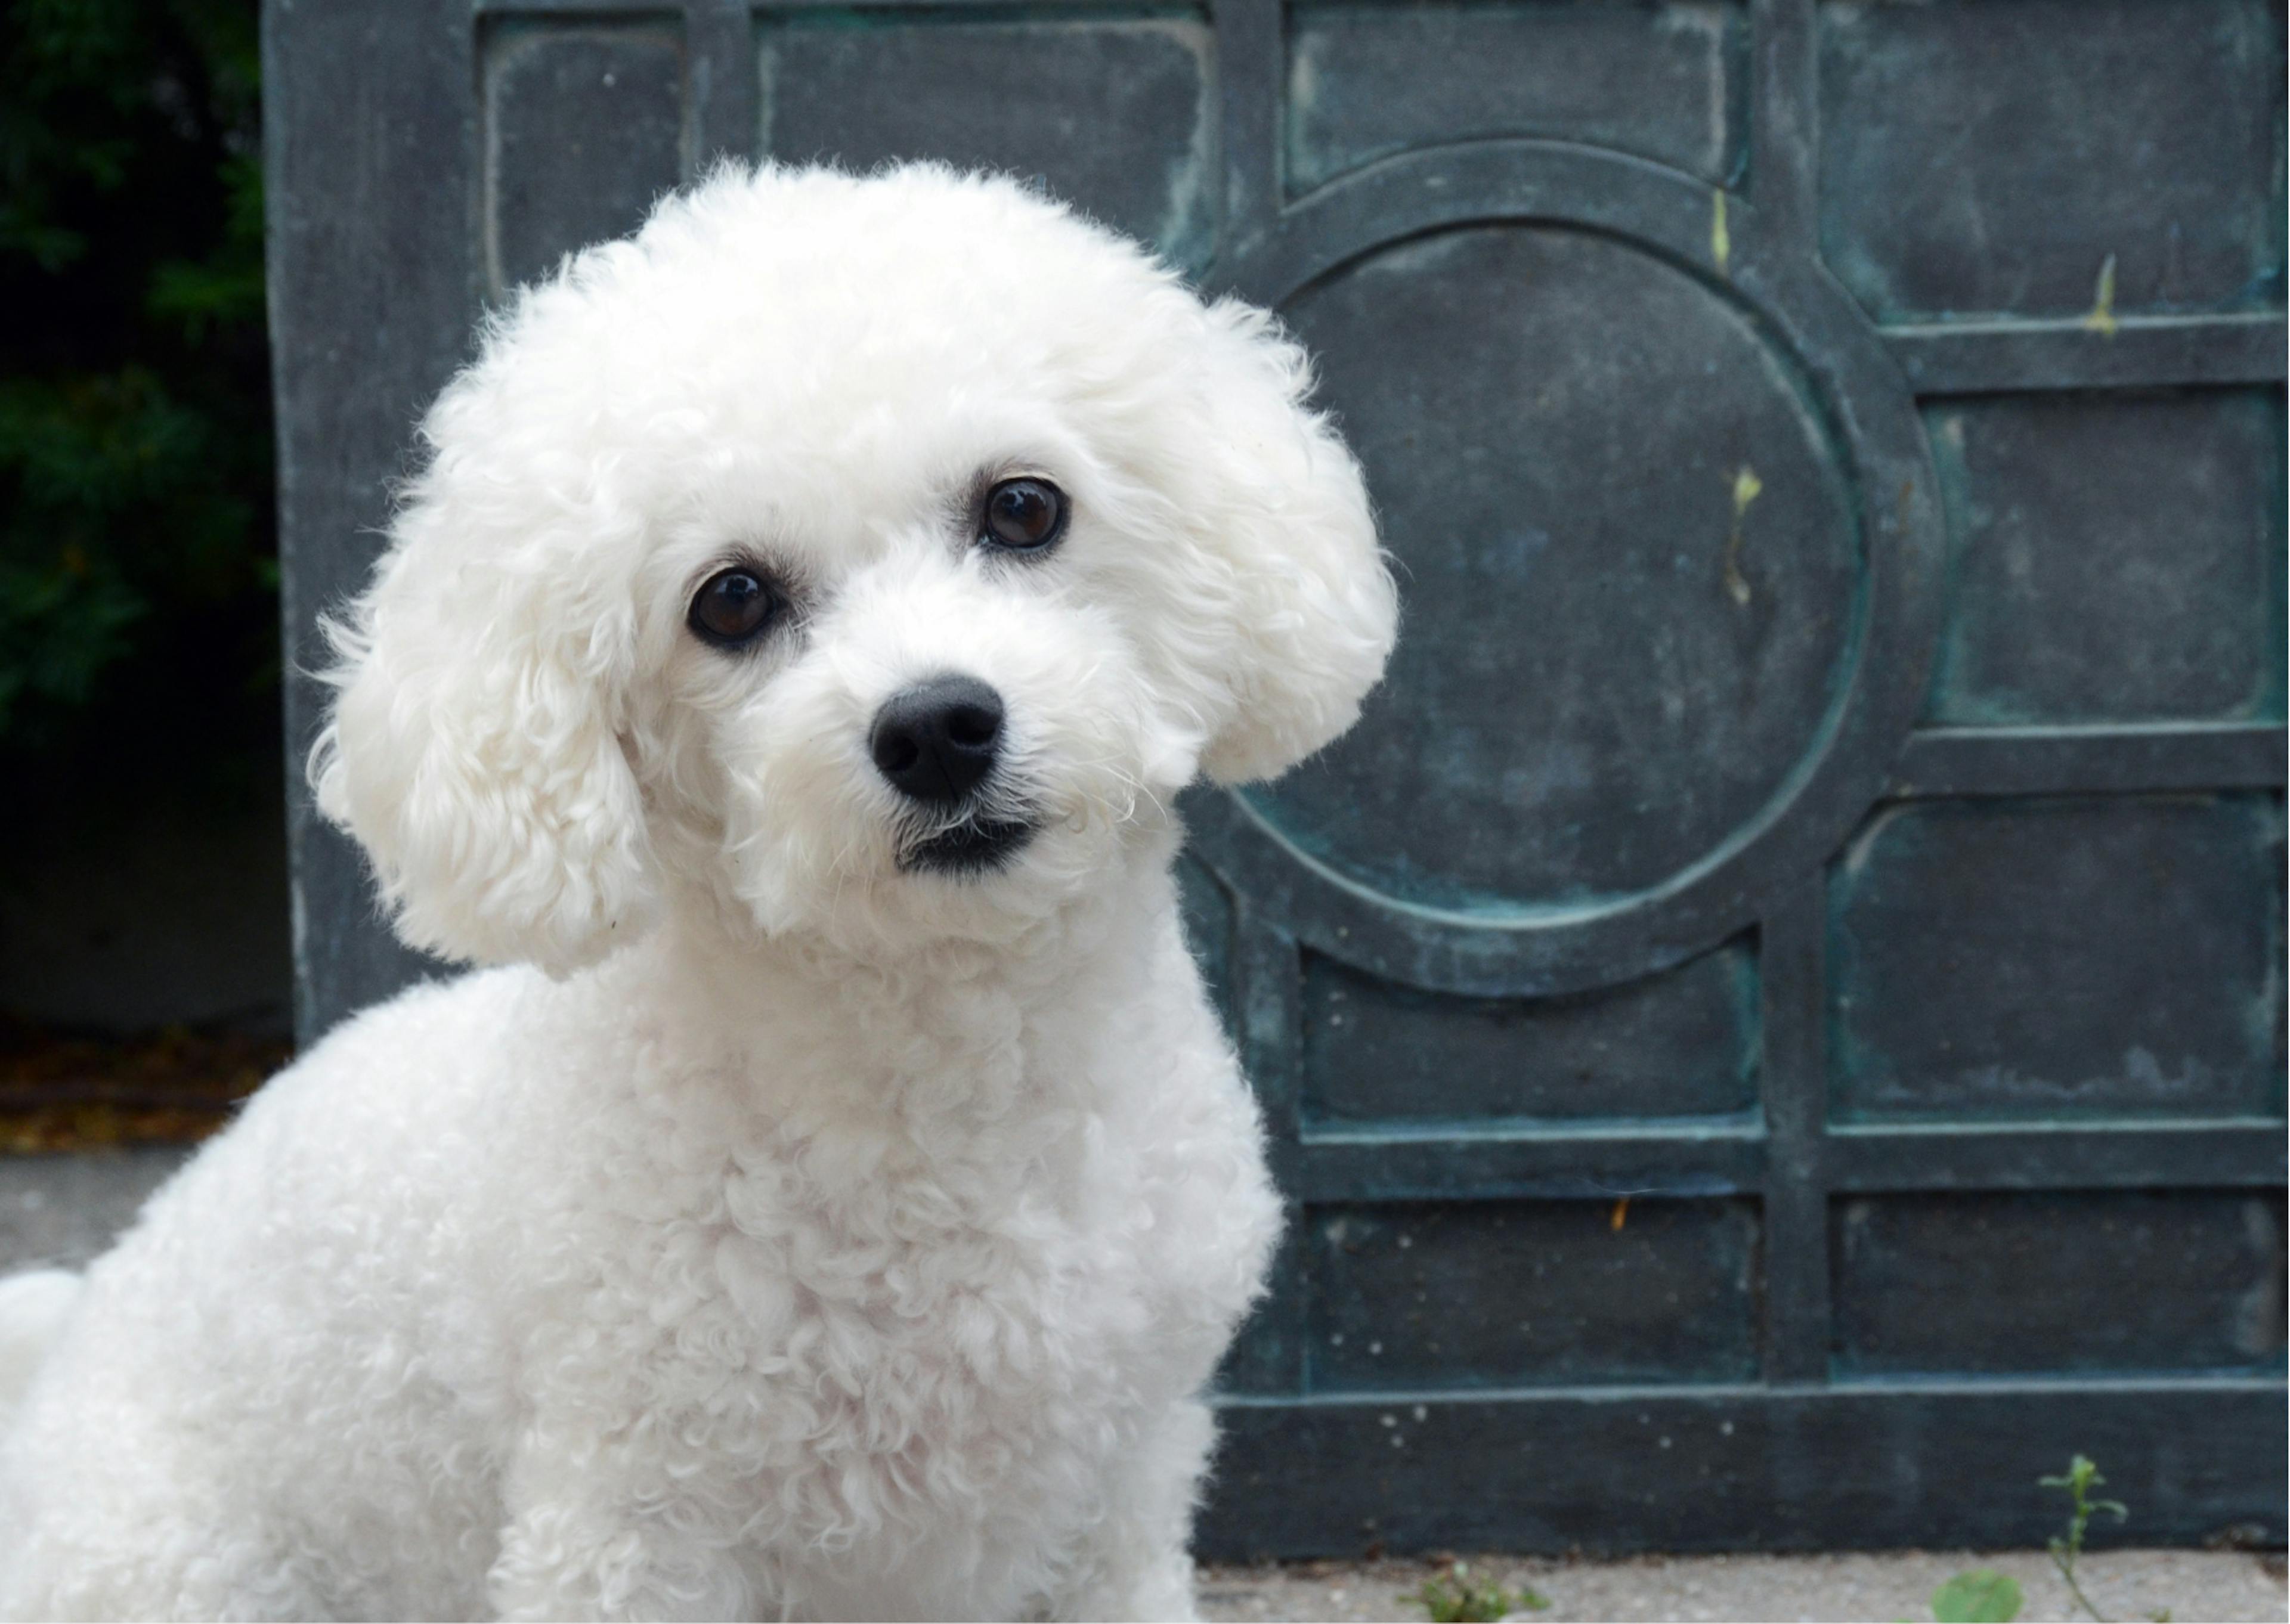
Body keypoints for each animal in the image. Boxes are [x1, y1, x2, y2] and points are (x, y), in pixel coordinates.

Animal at [0, 168, 1392, 1622]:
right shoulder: (629, 1529)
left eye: (1024, 508)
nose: (937, 727)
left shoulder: (1117, 1493)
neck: (946, 1095)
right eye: (730, 601)